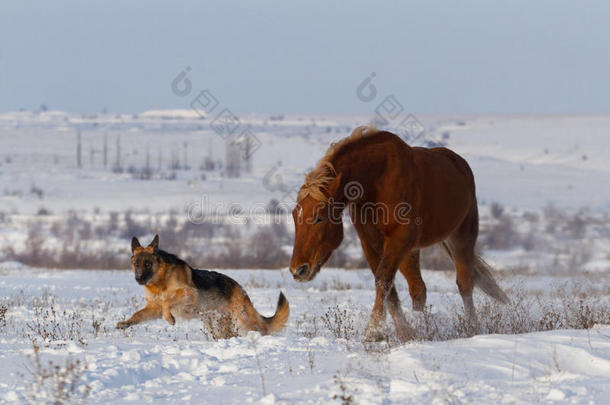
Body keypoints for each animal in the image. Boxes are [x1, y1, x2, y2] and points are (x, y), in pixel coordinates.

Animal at [119, 235, 292, 336]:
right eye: (136, 264)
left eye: (148, 264)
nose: (139, 278)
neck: (160, 280)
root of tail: (240, 288)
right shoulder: (153, 307)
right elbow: (138, 314)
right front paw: (126, 323)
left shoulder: (187, 294)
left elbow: (167, 302)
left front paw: (170, 318)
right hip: (217, 325)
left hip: (244, 319)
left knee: (262, 328)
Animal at [290, 124, 508, 340]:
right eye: (294, 216)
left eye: (319, 217)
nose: (297, 270)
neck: (377, 178)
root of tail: (460, 165)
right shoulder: (371, 242)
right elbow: (388, 286)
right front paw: (404, 332)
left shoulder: (399, 238)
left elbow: (383, 280)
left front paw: (374, 330)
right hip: (411, 251)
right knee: (418, 289)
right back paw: (422, 324)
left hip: (462, 237)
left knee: (464, 284)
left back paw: (471, 327)